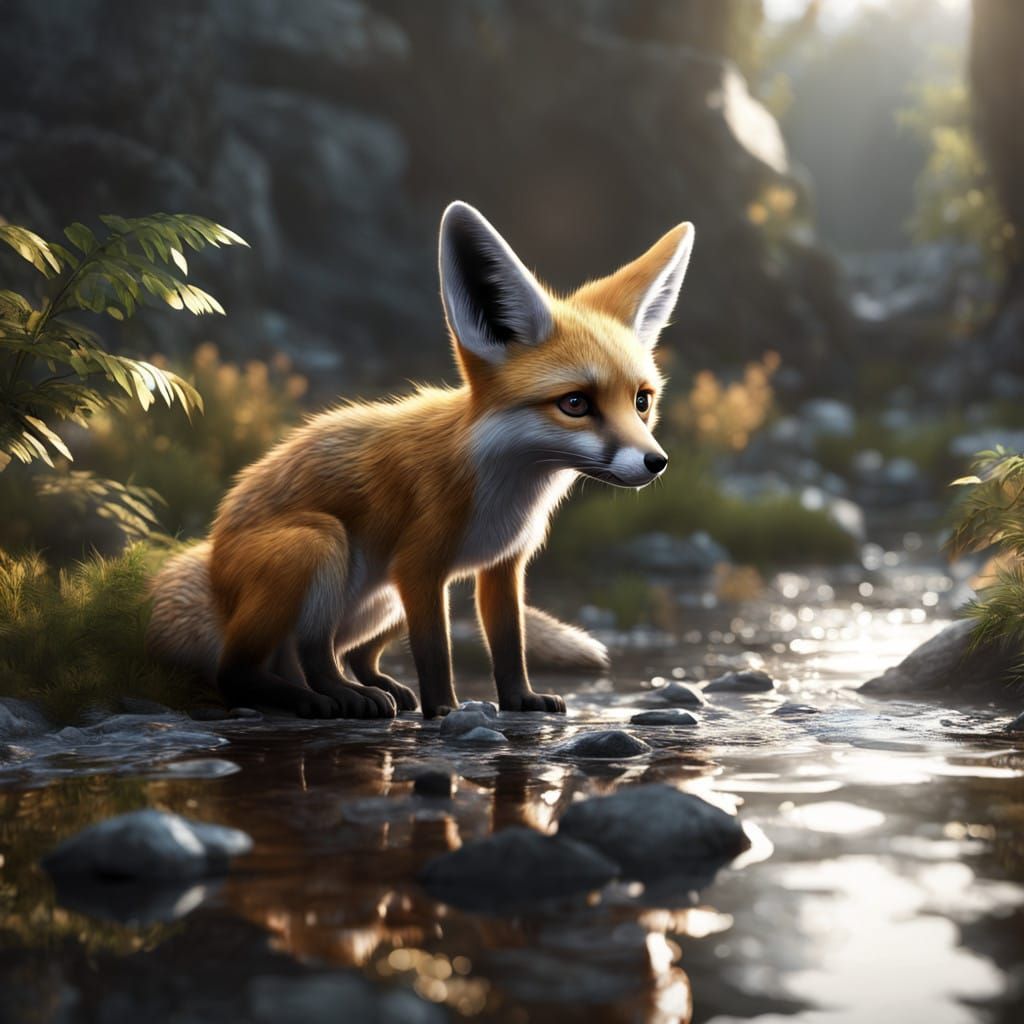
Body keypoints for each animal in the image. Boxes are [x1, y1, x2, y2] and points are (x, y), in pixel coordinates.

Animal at [146, 201, 694, 719]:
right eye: (575, 404)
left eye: (641, 401)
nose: (656, 462)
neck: (503, 489)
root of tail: (213, 562)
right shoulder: (420, 566)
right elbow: (435, 652)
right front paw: (446, 709)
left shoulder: (503, 567)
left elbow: (508, 644)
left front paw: (520, 700)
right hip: (324, 545)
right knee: (257, 667)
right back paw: (328, 700)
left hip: (380, 598)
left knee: (334, 657)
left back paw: (366, 689)